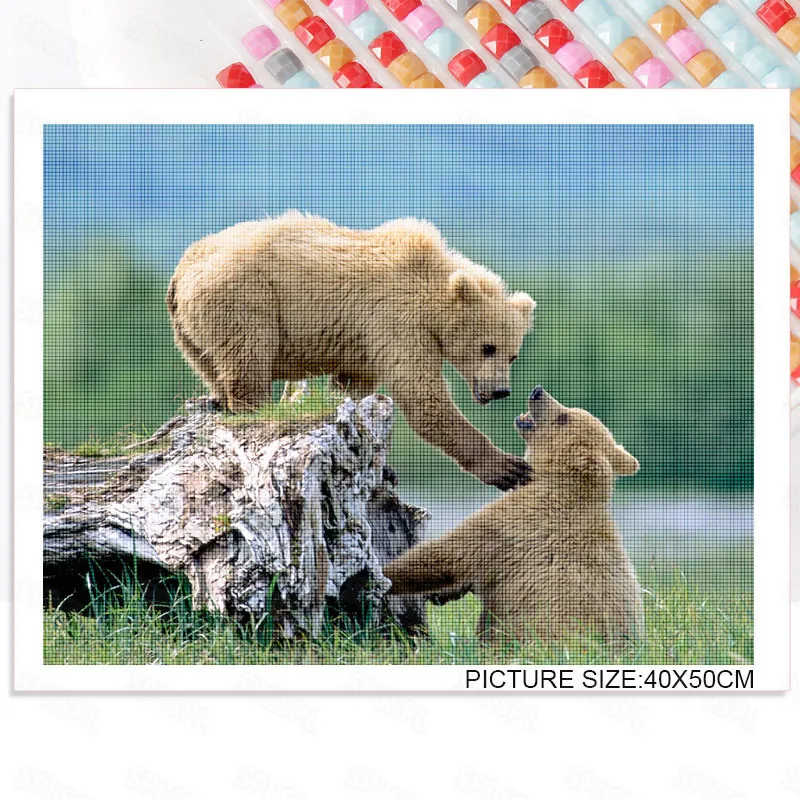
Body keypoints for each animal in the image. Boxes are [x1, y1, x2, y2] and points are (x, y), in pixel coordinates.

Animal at [166, 212, 536, 490]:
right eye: (487, 347)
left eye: (513, 354)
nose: (501, 390)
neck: (432, 299)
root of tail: (182, 268)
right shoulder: (396, 321)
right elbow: (423, 398)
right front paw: (510, 468)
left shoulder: (366, 342)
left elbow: (355, 388)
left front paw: (383, 465)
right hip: (244, 300)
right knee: (248, 359)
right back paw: (256, 407)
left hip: (190, 332)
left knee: (212, 365)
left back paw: (217, 400)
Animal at [383, 386, 645, 647]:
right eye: (569, 411)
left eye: (564, 417)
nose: (538, 391)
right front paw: (440, 593)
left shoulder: (517, 525)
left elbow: (447, 555)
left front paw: (384, 575)